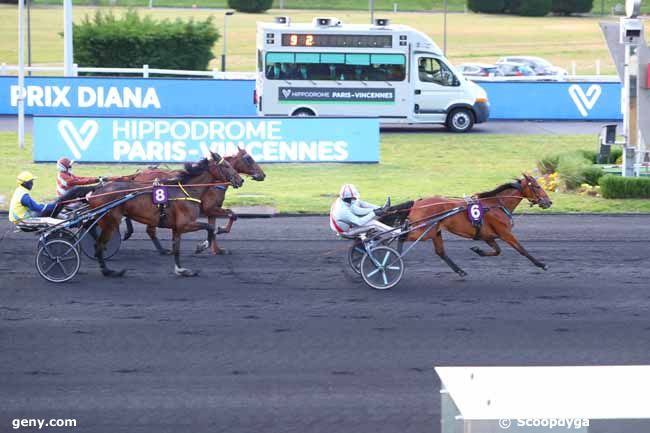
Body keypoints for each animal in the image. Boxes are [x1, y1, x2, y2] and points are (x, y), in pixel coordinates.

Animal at [88, 153, 243, 276]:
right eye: (227, 166)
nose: (241, 180)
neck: (187, 191)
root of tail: (95, 193)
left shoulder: (177, 228)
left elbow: (177, 248)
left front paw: (181, 270)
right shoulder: (186, 224)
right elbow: (209, 227)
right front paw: (202, 246)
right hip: (110, 223)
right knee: (98, 245)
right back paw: (108, 271)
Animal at [120, 148, 264, 253]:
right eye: (248, 159)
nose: (262, 175)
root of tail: (138, 174)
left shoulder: (212, 210)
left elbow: (217, 223)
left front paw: (215, 248)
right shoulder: (210, 208)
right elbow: (231, 215)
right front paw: (217, 233)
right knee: (147, 227)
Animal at [402, 173, 548, 276]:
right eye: (537, 186)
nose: (549, 202)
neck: (496, 205)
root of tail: (417, 202)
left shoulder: (487, 236)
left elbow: (497, 251)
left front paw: (478, 250)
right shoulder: (505, 233)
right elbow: (521, 249)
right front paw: (541, 264)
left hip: (435, 231)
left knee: (440, 252)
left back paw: (460, 271)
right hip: (422, 231)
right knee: (403, 237)